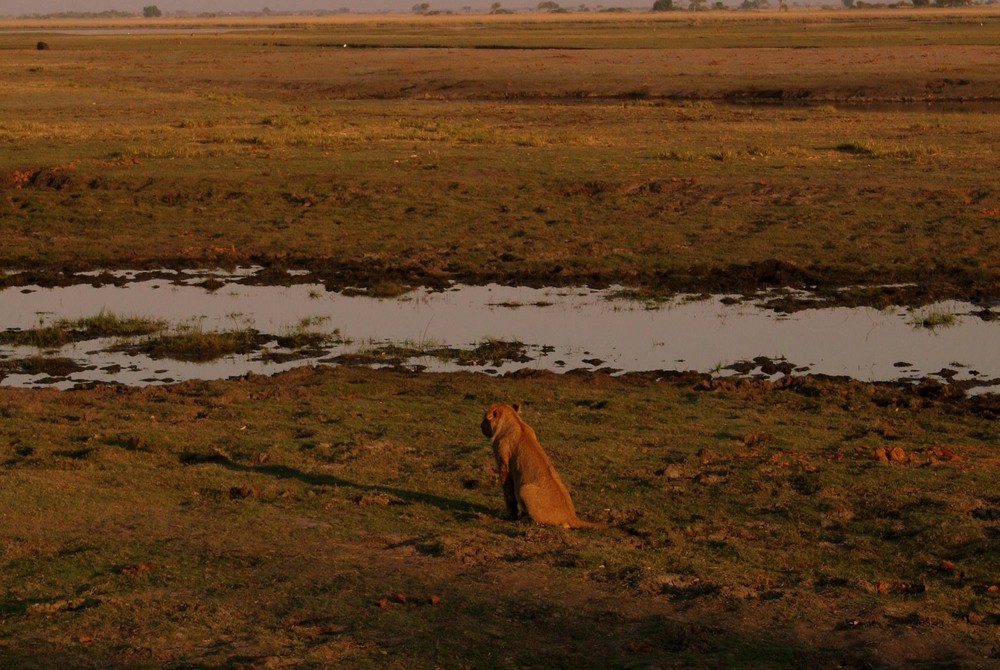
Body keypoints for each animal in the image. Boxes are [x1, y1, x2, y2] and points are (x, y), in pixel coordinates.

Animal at [480, 404, 596, 532]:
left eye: (485, 418)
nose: (480, 426)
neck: (515, 421)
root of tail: (571, 517)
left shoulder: (504, 467)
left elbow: (509, 496)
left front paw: (510, 516)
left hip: (524, 489)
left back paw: (526, 520)